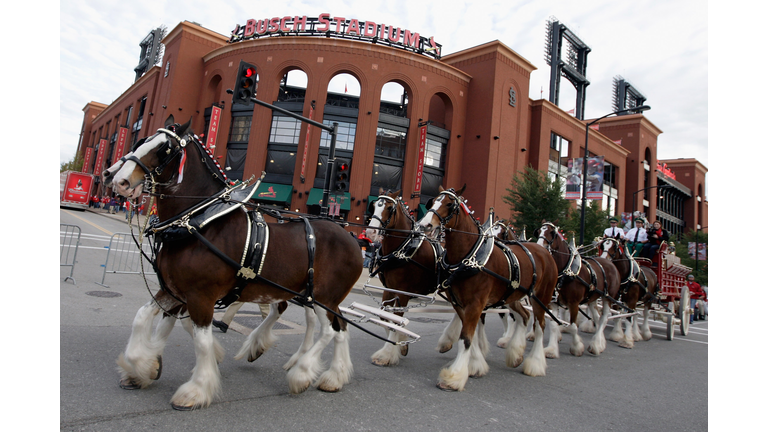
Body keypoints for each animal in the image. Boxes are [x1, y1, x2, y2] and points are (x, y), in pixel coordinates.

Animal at [100, 121, 362, 408]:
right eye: (140, 141)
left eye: (164, 148)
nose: (119, 180)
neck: (197, 221)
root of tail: (352, 238)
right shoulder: (173, 290)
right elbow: (143, 317)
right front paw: (143, 366)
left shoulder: (200, 295)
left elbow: (201, 340)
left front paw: (196, 389)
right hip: (312, 295)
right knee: (338, 327)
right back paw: (332, 376)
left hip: (324, 297)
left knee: (328, 330)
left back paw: (301, 373)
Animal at [416, 186, 556, 392]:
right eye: (431, 202)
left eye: (450, 204)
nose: (424, 225)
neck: (470, 257)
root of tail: (545, 252)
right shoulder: (459, 303)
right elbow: (470, 335)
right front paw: (476, 365)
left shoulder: (476, 304)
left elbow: (466, 338)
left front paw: (454, 376)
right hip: (513, 296)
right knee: (524, 316)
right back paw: (516, 354)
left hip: (541, 298)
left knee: (540, 326)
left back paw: (535, 364)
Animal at [536, 221, 624, 356]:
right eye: (539, 231)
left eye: (552, 232)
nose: (540, 247)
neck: (566, 271)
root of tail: (610, 263)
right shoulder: (554, 303)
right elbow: (553, 325)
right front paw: (551, 350)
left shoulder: (574, 303)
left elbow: (573, 327)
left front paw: (577, 347)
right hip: (592, 298)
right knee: (597, 318)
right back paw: (599, 343)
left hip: (608, 298)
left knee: (604, 318)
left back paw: (596, 345)